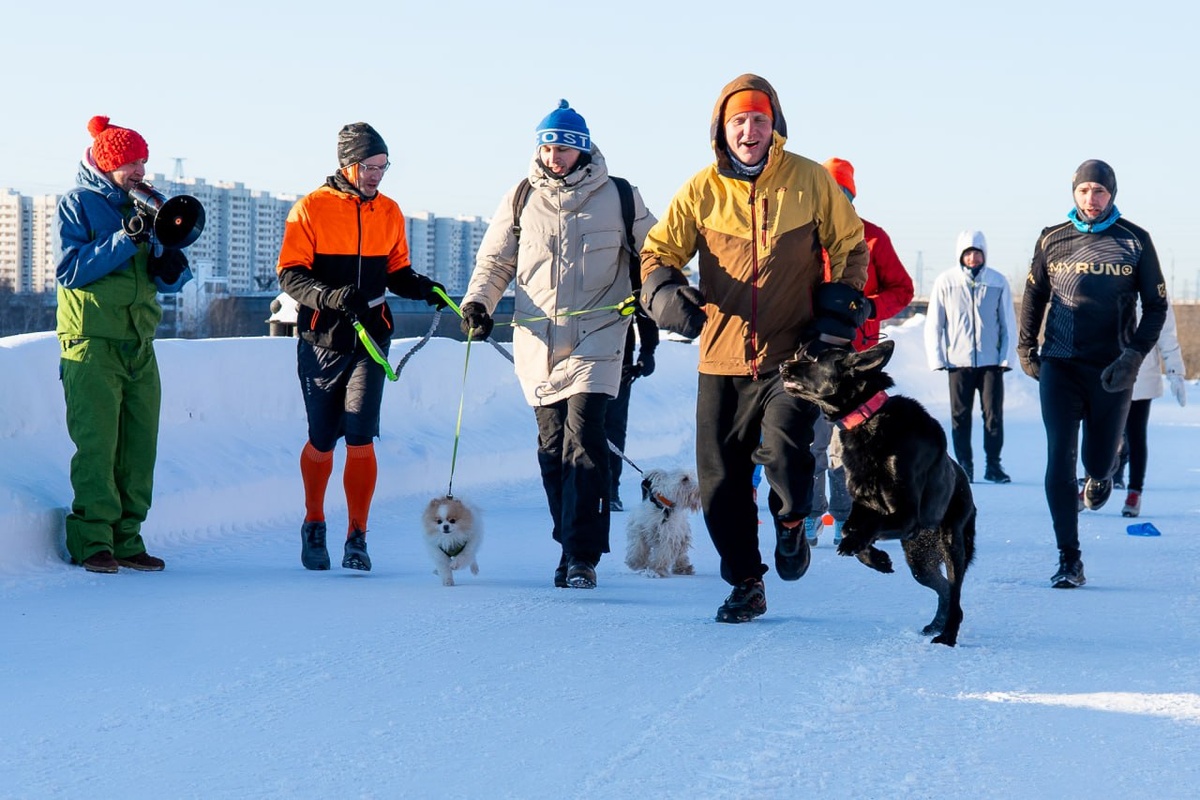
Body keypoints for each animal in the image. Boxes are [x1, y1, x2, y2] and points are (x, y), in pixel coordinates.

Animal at [780, 339, 976, 646]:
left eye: (812, 358)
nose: (781, 365)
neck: (867, 420)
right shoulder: (863, 505)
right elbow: (849, 527)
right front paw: (876, 559)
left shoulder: (906, 516)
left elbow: (867, 528)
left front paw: (856, 546)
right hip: (919, 560)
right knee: (943, 588)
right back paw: (936, 623)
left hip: (951, 542)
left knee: (955, 593)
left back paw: (947, 635)